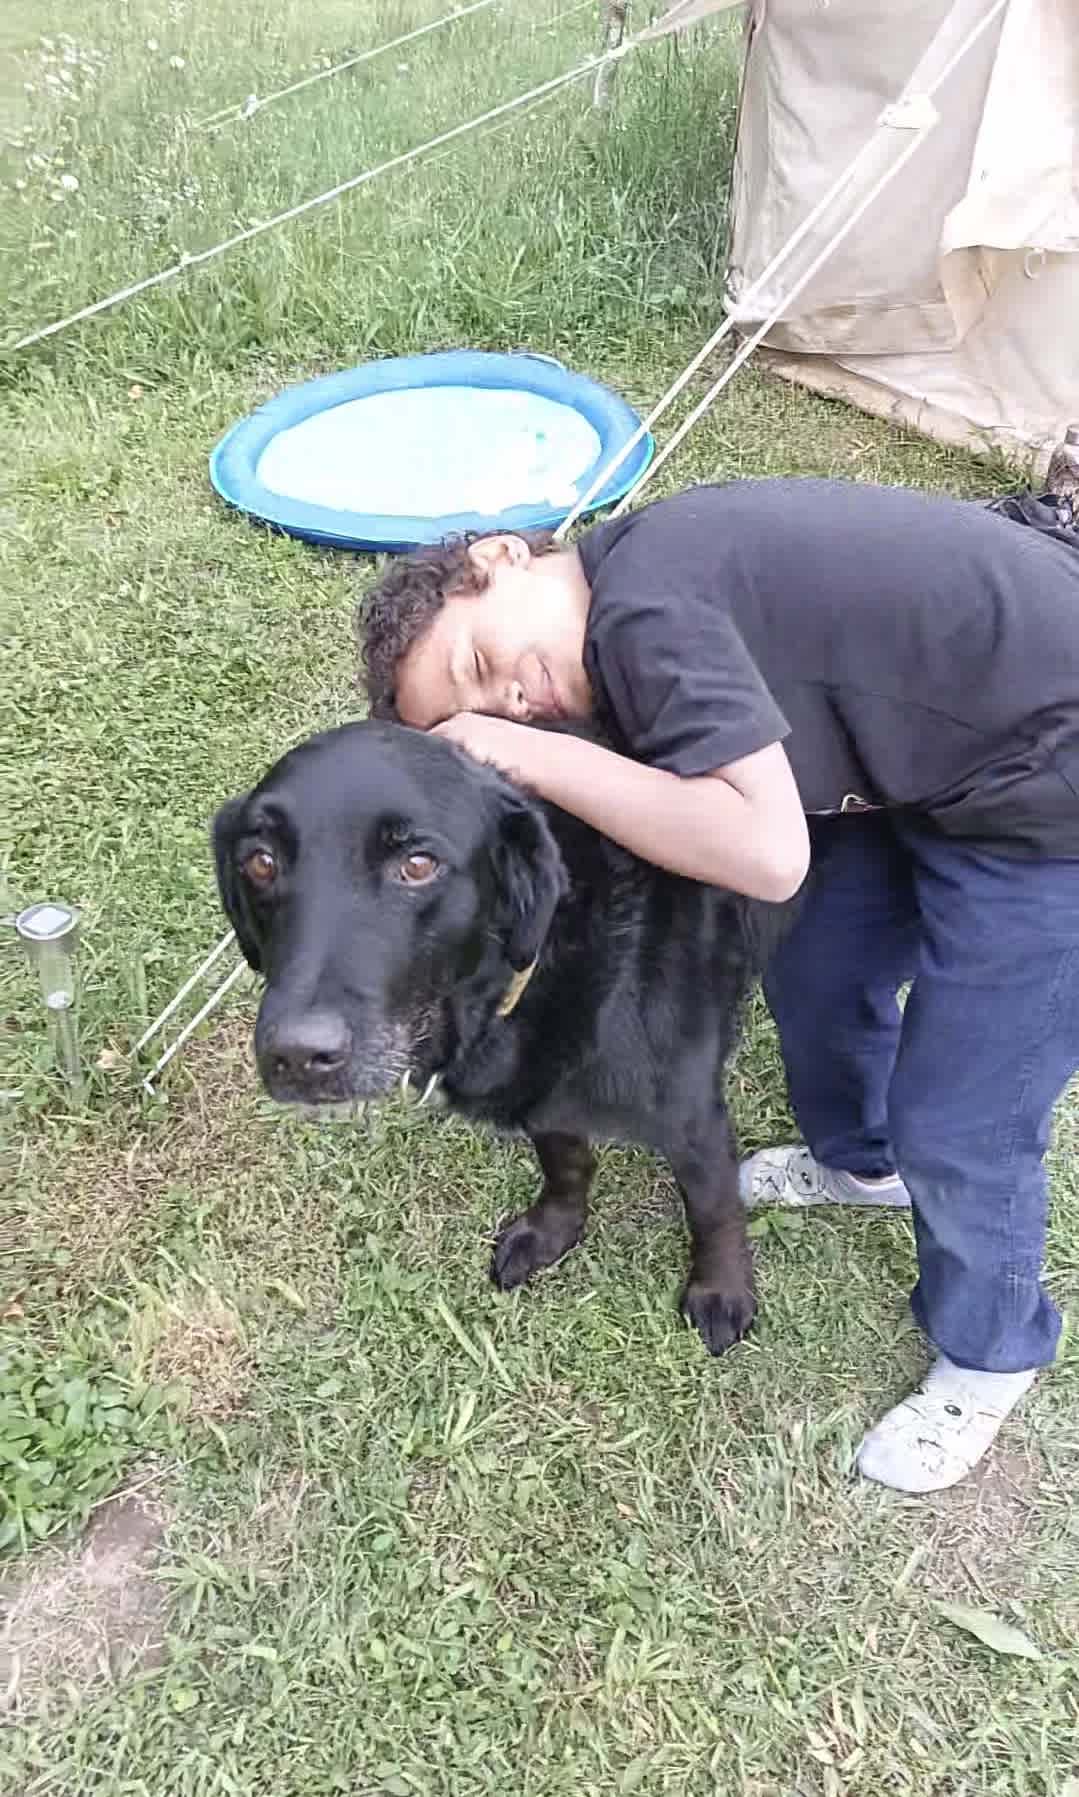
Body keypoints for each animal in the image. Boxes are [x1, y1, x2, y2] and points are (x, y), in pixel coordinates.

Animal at [210, 715, 787, 1351]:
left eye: (418, 864)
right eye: (260, 862)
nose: (295, 1054)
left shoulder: (692, 1118)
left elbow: (713, 1207)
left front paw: (721, 1291)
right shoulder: (544, 1096)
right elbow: (565, 1163)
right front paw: (553, 1229)